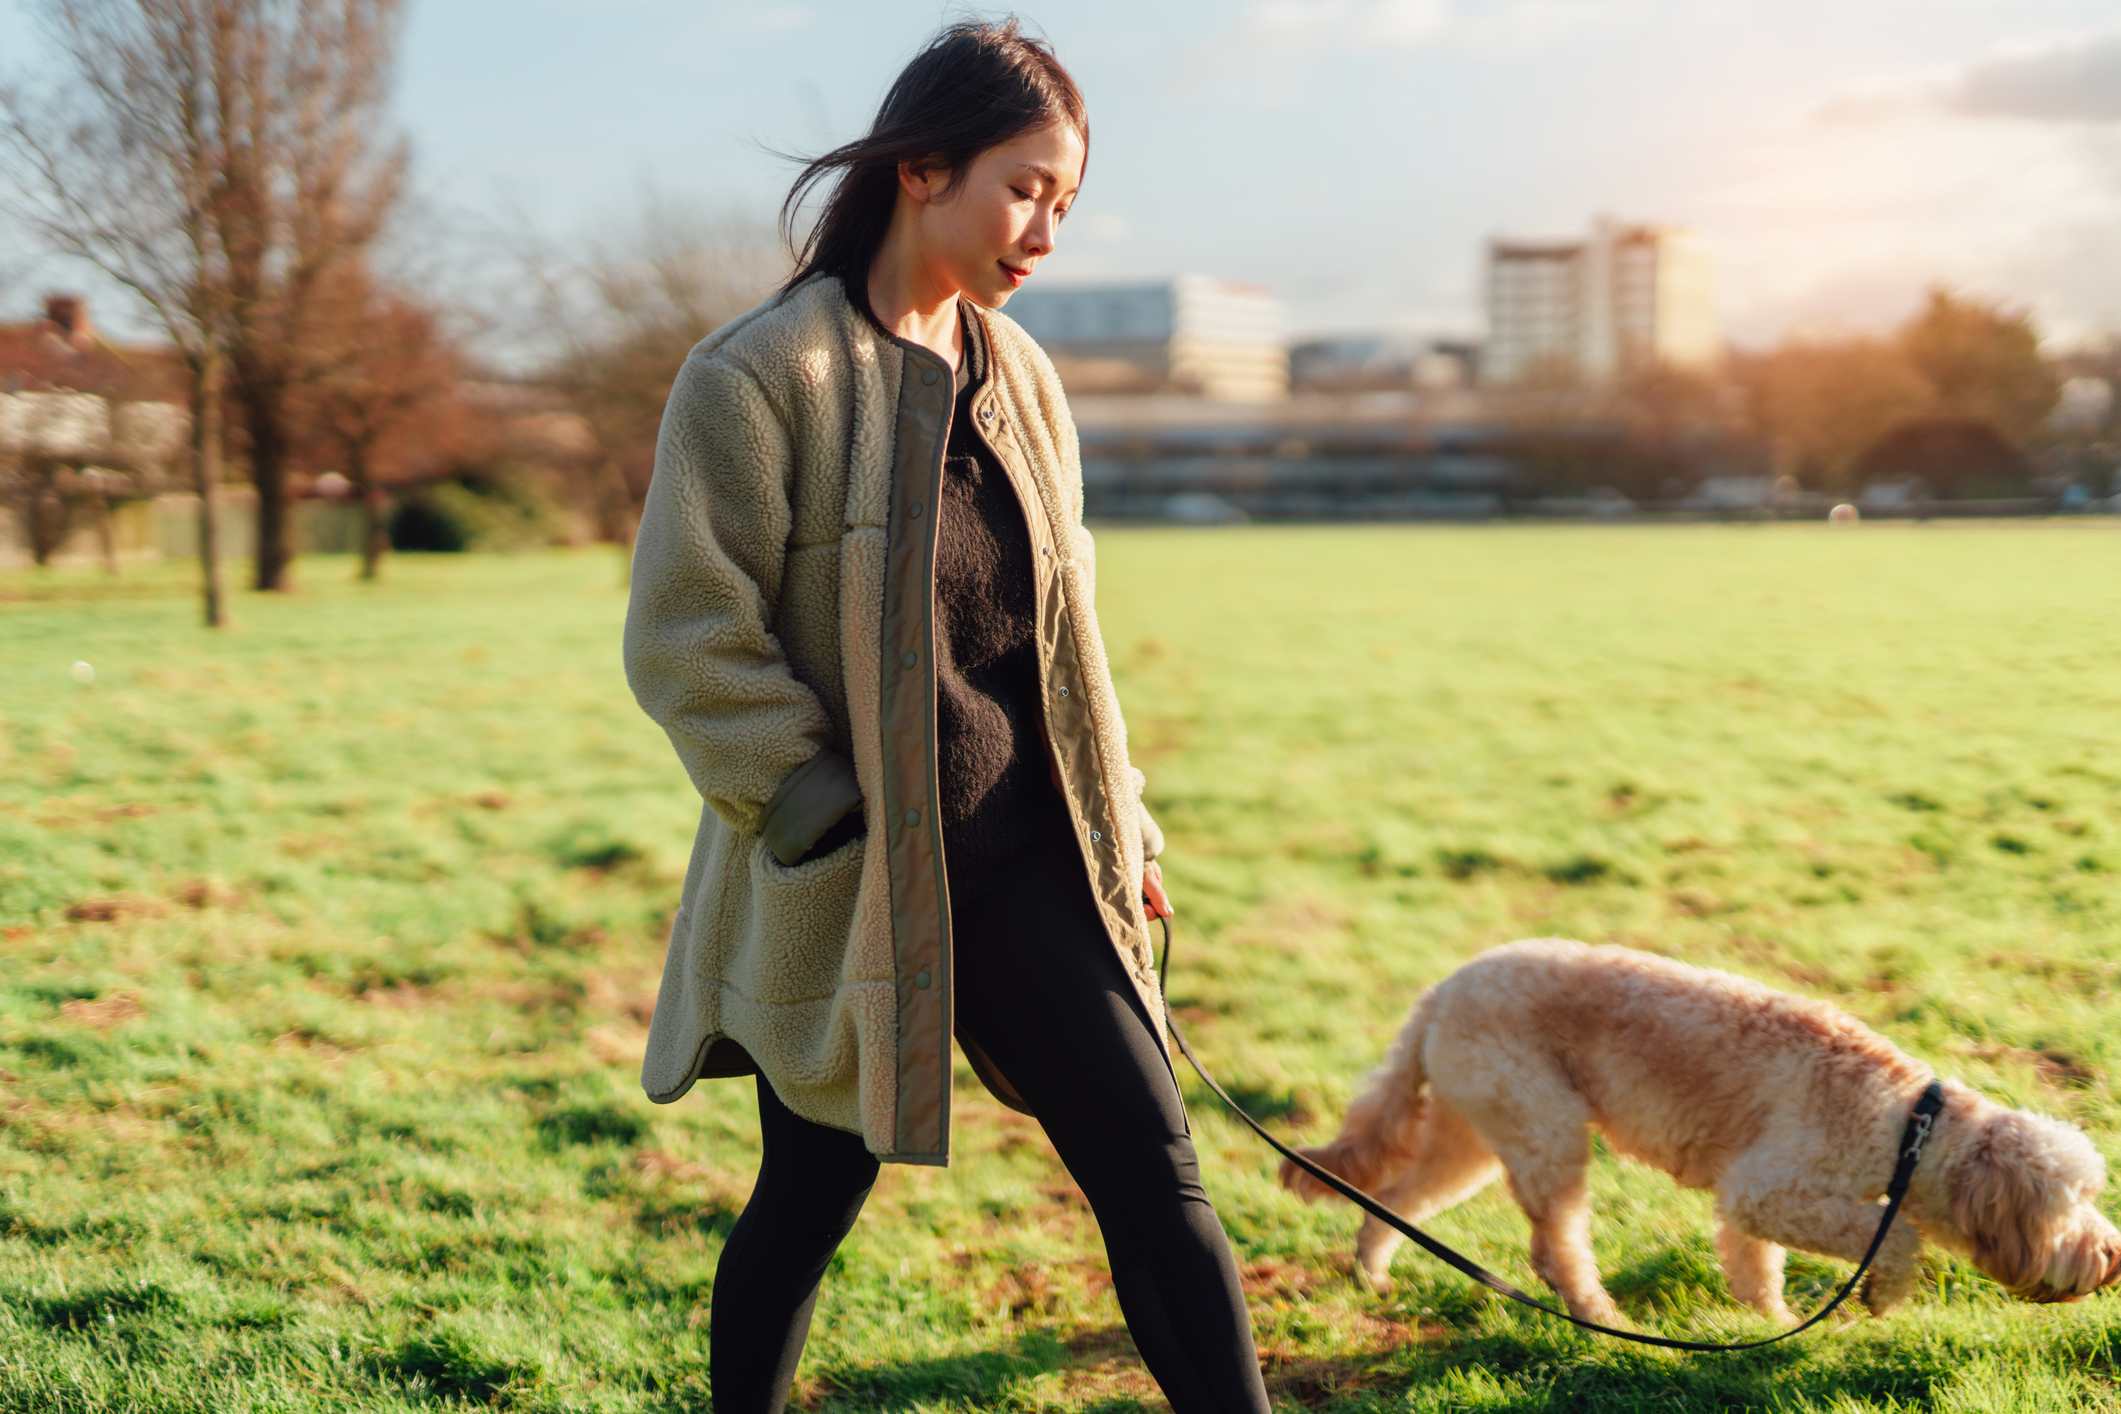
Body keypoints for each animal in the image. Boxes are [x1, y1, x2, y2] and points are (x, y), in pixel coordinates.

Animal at [1272, 941, 2121, 1331]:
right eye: (2069, 1207)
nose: (2110, 1257)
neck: (1909, 1123)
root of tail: (1442, 988)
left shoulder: (1750, 1206)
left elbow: (1755, 1268)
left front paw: (1771, 1325)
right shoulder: (1767, 1190)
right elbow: (1896, 1234)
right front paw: (1880, 1294)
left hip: (1473, 1137)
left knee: (1395, 1199)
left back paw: (1372, 1273)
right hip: (1546, 1135)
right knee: (1557, 1249)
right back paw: (1600, 1316)